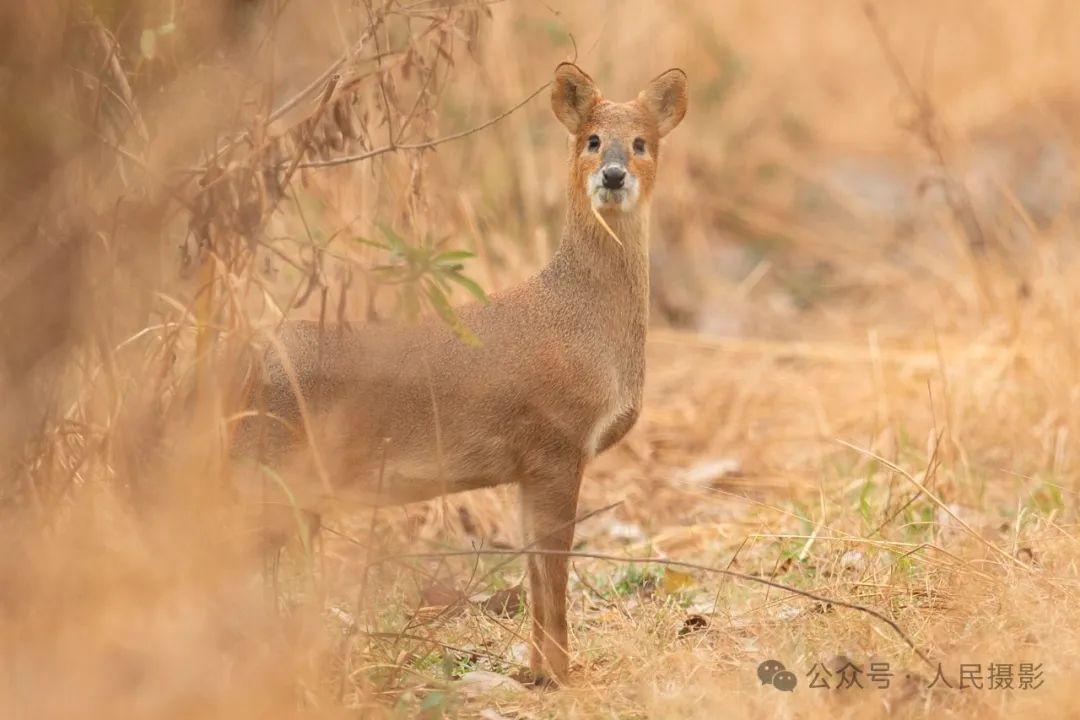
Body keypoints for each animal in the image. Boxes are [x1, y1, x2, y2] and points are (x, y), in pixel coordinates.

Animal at [239, 63, 686, 686]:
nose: (615, 174)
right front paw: (562, 674)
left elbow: (535, 573)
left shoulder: (530, 467)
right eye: (592, 140)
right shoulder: (558, 444)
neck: (583, 323)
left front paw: (539, 671)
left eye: (642, 142)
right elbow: (554, 572)